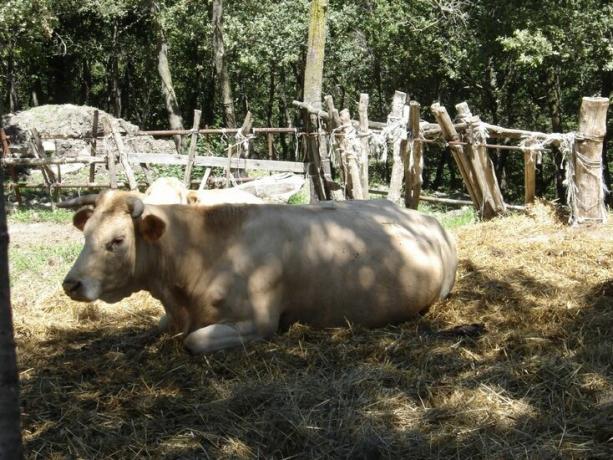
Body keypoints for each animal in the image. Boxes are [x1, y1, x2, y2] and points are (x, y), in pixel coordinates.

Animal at [59, 189, 456, 354]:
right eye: (86, 232)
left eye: (117, 240)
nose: (71, 284)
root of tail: (421, 215)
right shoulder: (173, 315)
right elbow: (151, 329)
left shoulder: (259, 322)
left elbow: (193, 341)